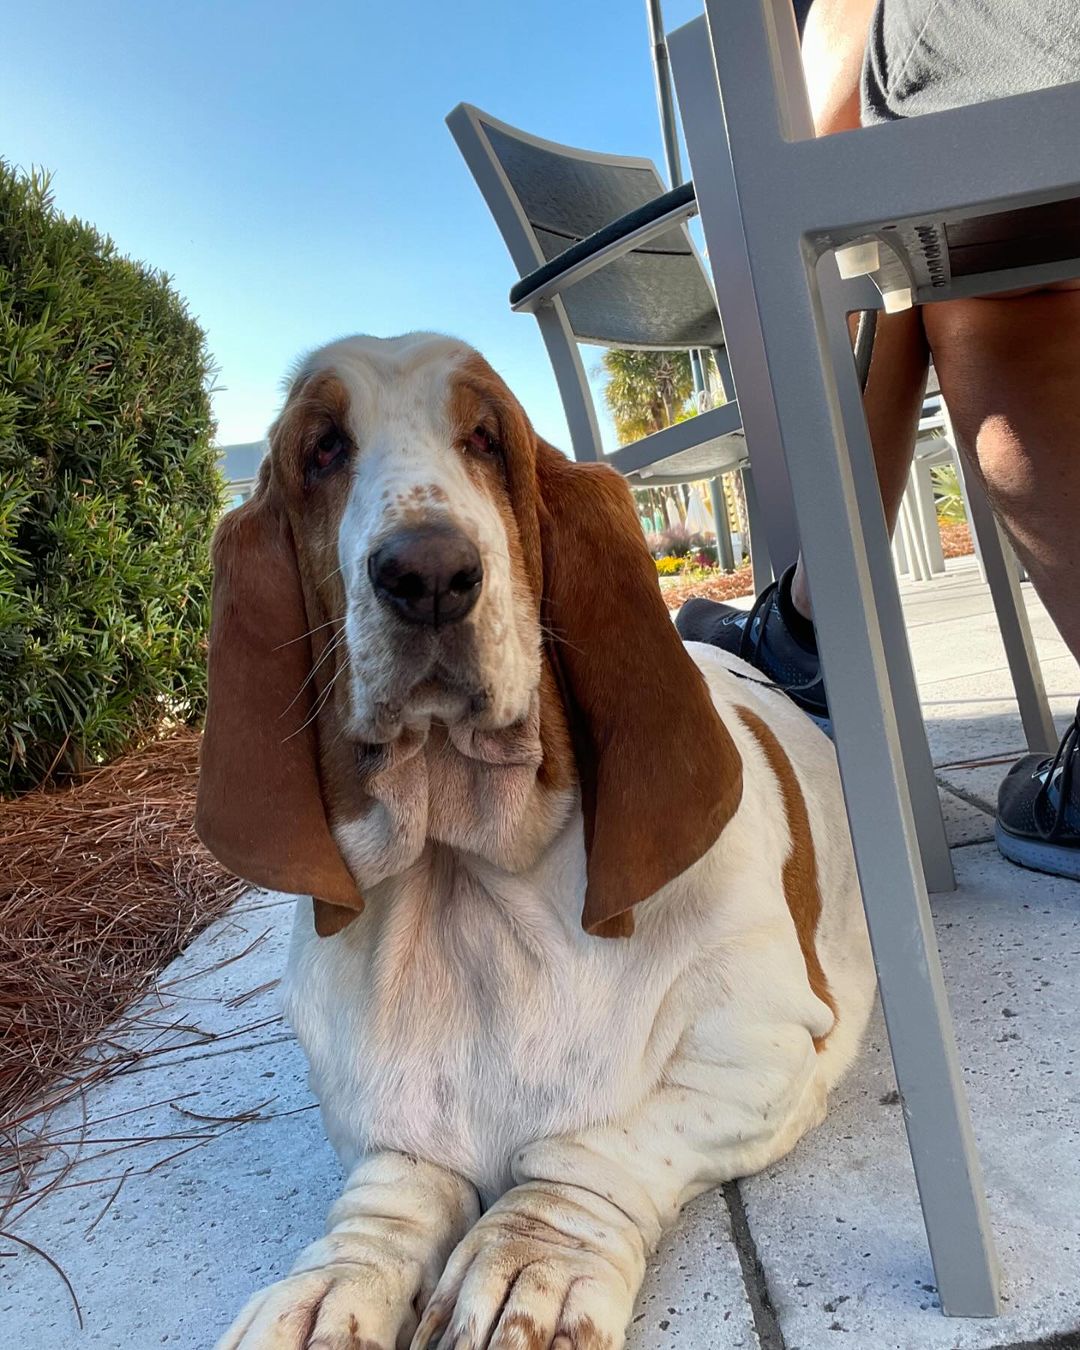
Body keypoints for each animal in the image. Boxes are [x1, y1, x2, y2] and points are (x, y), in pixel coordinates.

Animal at [195, 334, 874, 1350]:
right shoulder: (372, 1121)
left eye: (486, 438)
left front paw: (528, 1264)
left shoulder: (765, 1047)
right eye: (323, 450)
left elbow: (595, 1150)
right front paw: (339, 1284)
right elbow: (393, 1194)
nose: (429, 574)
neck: (466, 873)